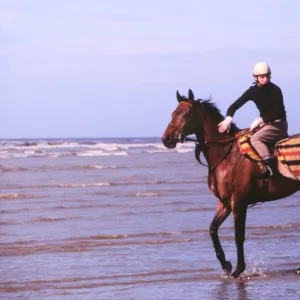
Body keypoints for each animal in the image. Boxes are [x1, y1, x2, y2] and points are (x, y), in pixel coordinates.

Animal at [162, 89, 300, 278]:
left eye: (186, 114)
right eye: (173, 113)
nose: (166, 139)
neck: (227, 156)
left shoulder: (239, 202)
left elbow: (238, 235)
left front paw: (238, 269)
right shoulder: (225, 202)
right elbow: (212, 229)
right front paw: (226, 265)